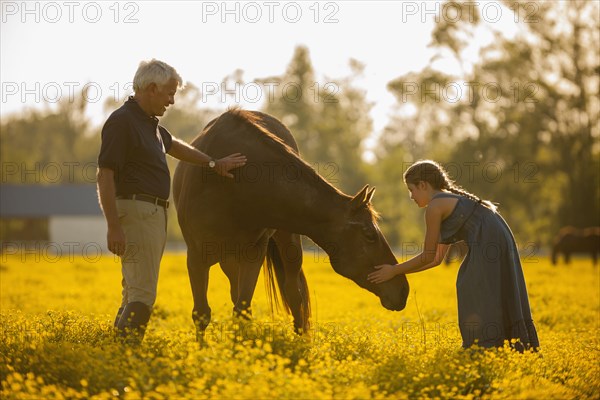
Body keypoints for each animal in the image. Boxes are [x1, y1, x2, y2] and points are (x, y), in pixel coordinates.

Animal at [171, 108, 410, 338]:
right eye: (369, 234)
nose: (403, 290)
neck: (233, 184)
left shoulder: (253, 254)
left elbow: (242, 310)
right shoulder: (196, 257)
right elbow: (202, 313)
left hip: (287, 243)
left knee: (294, 295)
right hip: (228, 260)